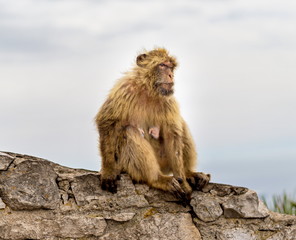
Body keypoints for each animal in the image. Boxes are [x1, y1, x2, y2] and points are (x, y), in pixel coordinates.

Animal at [95, 47, 210, 202]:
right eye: (162, 65)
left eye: (171, 67)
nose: (170, 75)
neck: (148, 90)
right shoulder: (124, 89)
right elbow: (108, 123)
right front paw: (108, 171)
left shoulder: (168, 99)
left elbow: (172, 135)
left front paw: (184, 184)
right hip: (124, 164)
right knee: (129, 131)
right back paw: (156, 179)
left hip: (164, 161)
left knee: (180, 125)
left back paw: (188, 173)